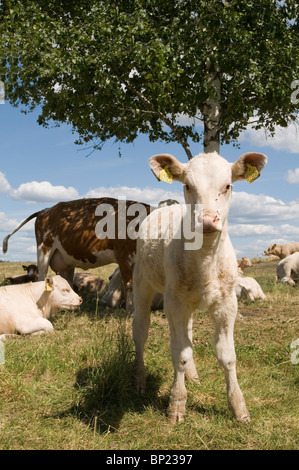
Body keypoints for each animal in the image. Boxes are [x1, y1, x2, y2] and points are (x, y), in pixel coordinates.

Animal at [2, 197, 152, 312]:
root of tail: (46, 210)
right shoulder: (124, 256)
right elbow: (130, 284)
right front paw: (131, 311)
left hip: (66, 260)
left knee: (67, 281)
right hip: (43, 250)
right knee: (41, 278)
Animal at [133, 152, 268, 424]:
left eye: (228, 186)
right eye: (187, 185)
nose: (206, 219)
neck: (205, 257)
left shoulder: (227, 304)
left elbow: (227, 356)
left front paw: (239, 408)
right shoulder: (174, 303)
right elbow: (179, 354)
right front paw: (177, 404)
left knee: (188, 335)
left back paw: (193, 376)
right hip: (142, 284)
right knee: (140, 331)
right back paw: (140, 379)